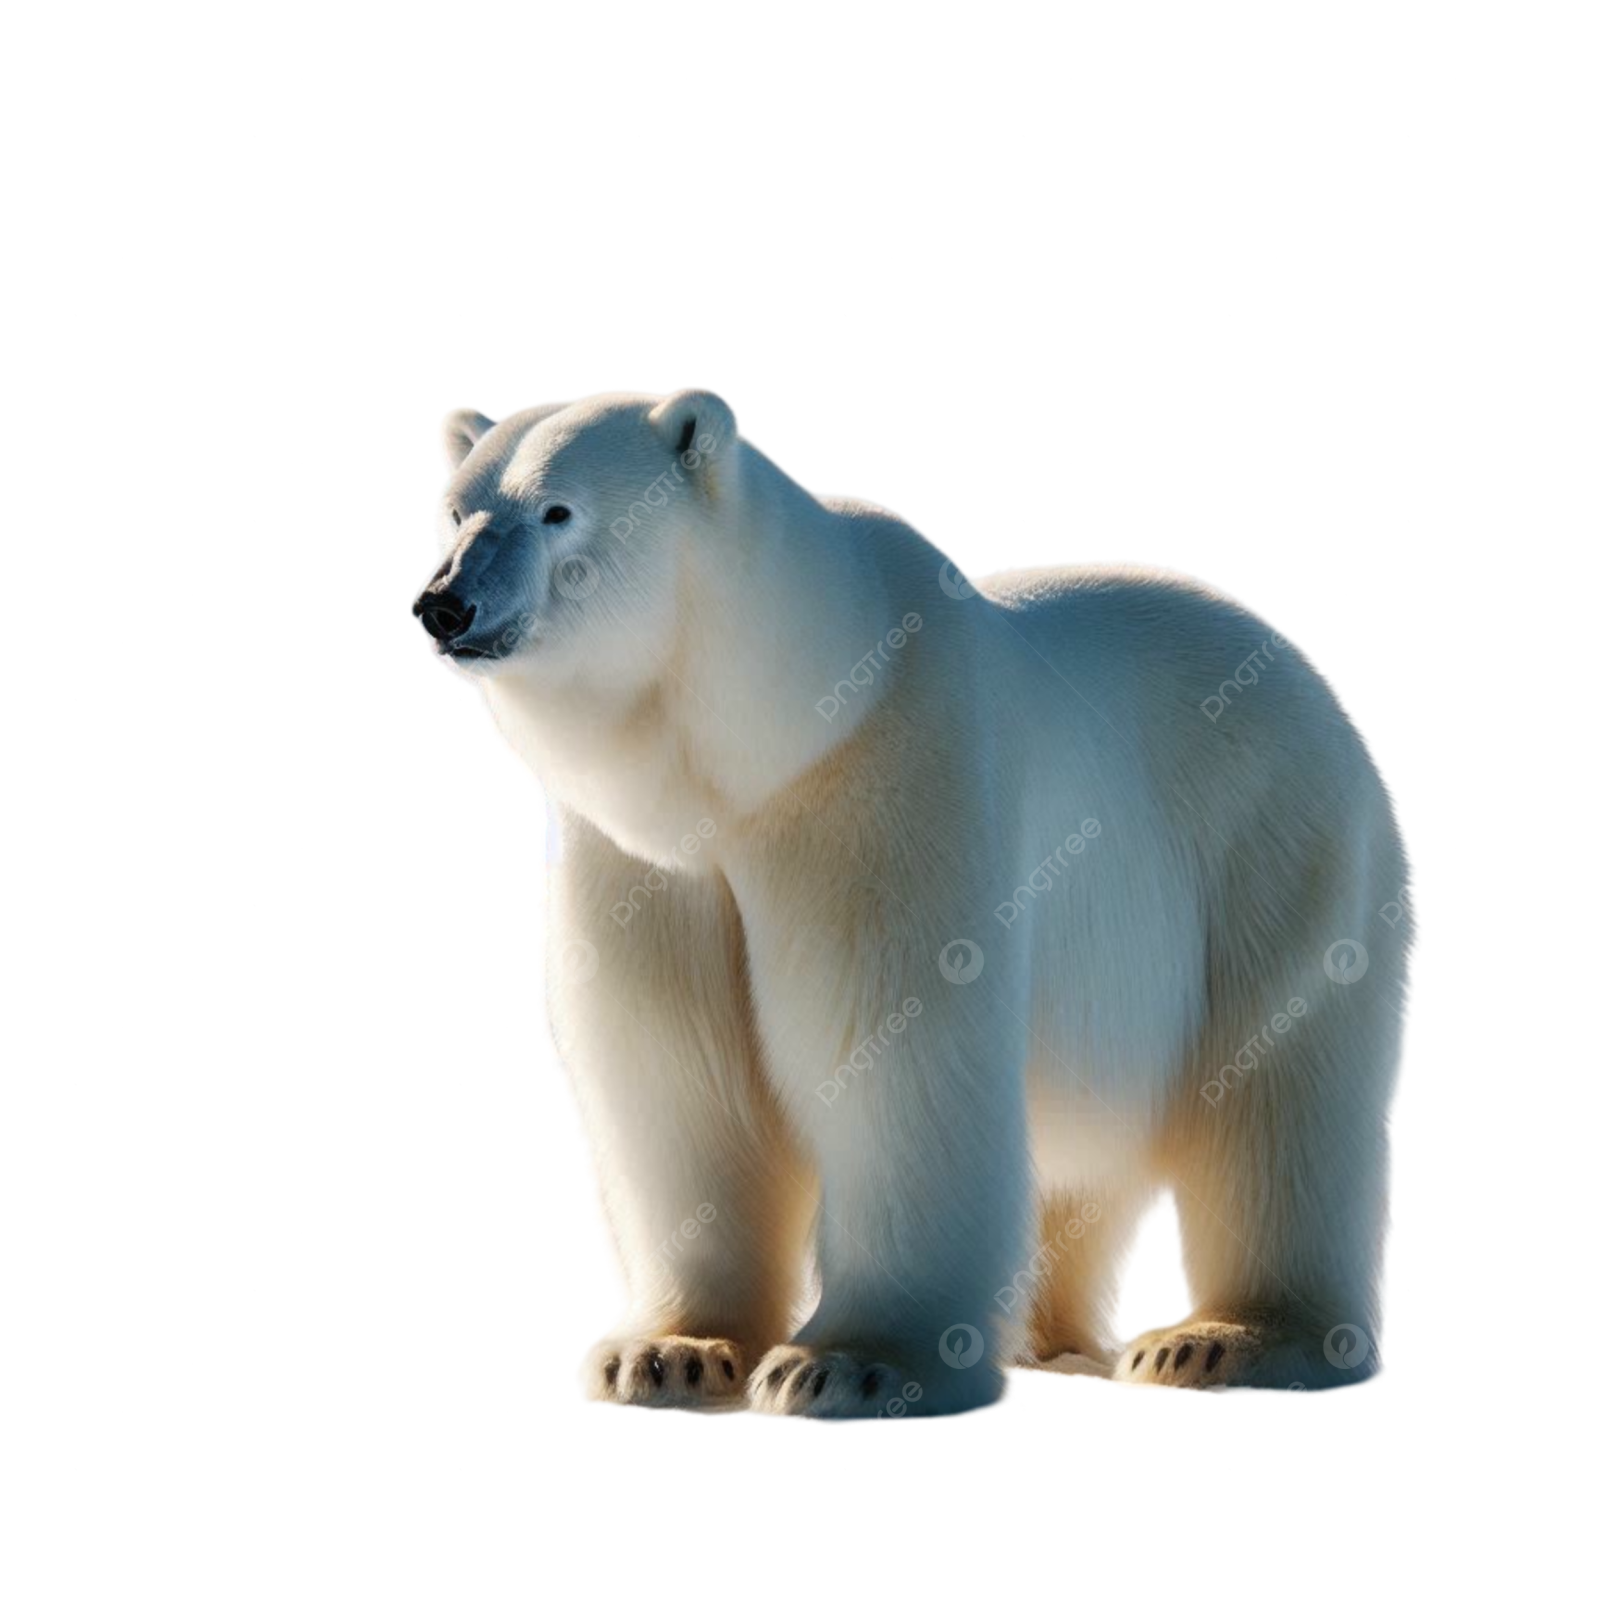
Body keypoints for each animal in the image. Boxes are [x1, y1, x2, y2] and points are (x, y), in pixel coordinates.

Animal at [411, 385, 1421, 1423]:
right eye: (454, 510)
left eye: (556, 510)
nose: (444, 603)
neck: (768, 736)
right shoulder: (646, 858)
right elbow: (678, 1075)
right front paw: (667, 1353)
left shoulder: (885, 783)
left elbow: (893, 1049)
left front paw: (853, 1364)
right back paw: (1048, 1339)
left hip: (1273, 845)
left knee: (1277, 1089)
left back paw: (1228, 1340)